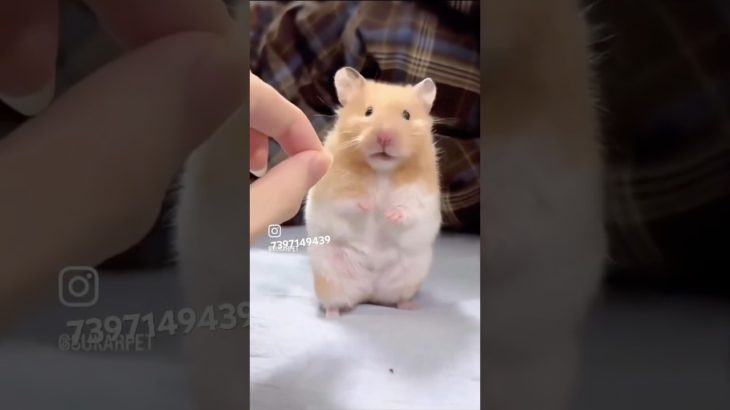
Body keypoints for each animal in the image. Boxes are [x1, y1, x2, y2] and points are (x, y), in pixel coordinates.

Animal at [303, 67, 442, 319]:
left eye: (406, 115)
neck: (382, 170)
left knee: (399, 299)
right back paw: (332, 315)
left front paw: (388, 214)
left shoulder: (420, 193)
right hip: (331, 277)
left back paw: (410, 307)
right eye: (368, 112)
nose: (384, 137)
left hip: (409, 277)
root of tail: (369, 292)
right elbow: (349, 199)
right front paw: (371, 206)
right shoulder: (334, 187)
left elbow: (409, 207)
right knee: (334, 301)